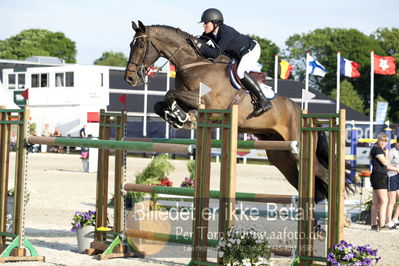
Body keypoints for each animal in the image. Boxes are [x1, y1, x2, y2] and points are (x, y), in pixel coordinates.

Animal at [125, 20, 332, 202]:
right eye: (130, 44)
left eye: (141, 45)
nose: (129, 78)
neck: (192, 64)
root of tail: (307, 116)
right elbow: (161, 104)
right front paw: (178, 117)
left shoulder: (210, 104)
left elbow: (170, 93)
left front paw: (184, 117)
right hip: (281, 155)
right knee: (301, 181)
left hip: (299, 150)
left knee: (324, 175)